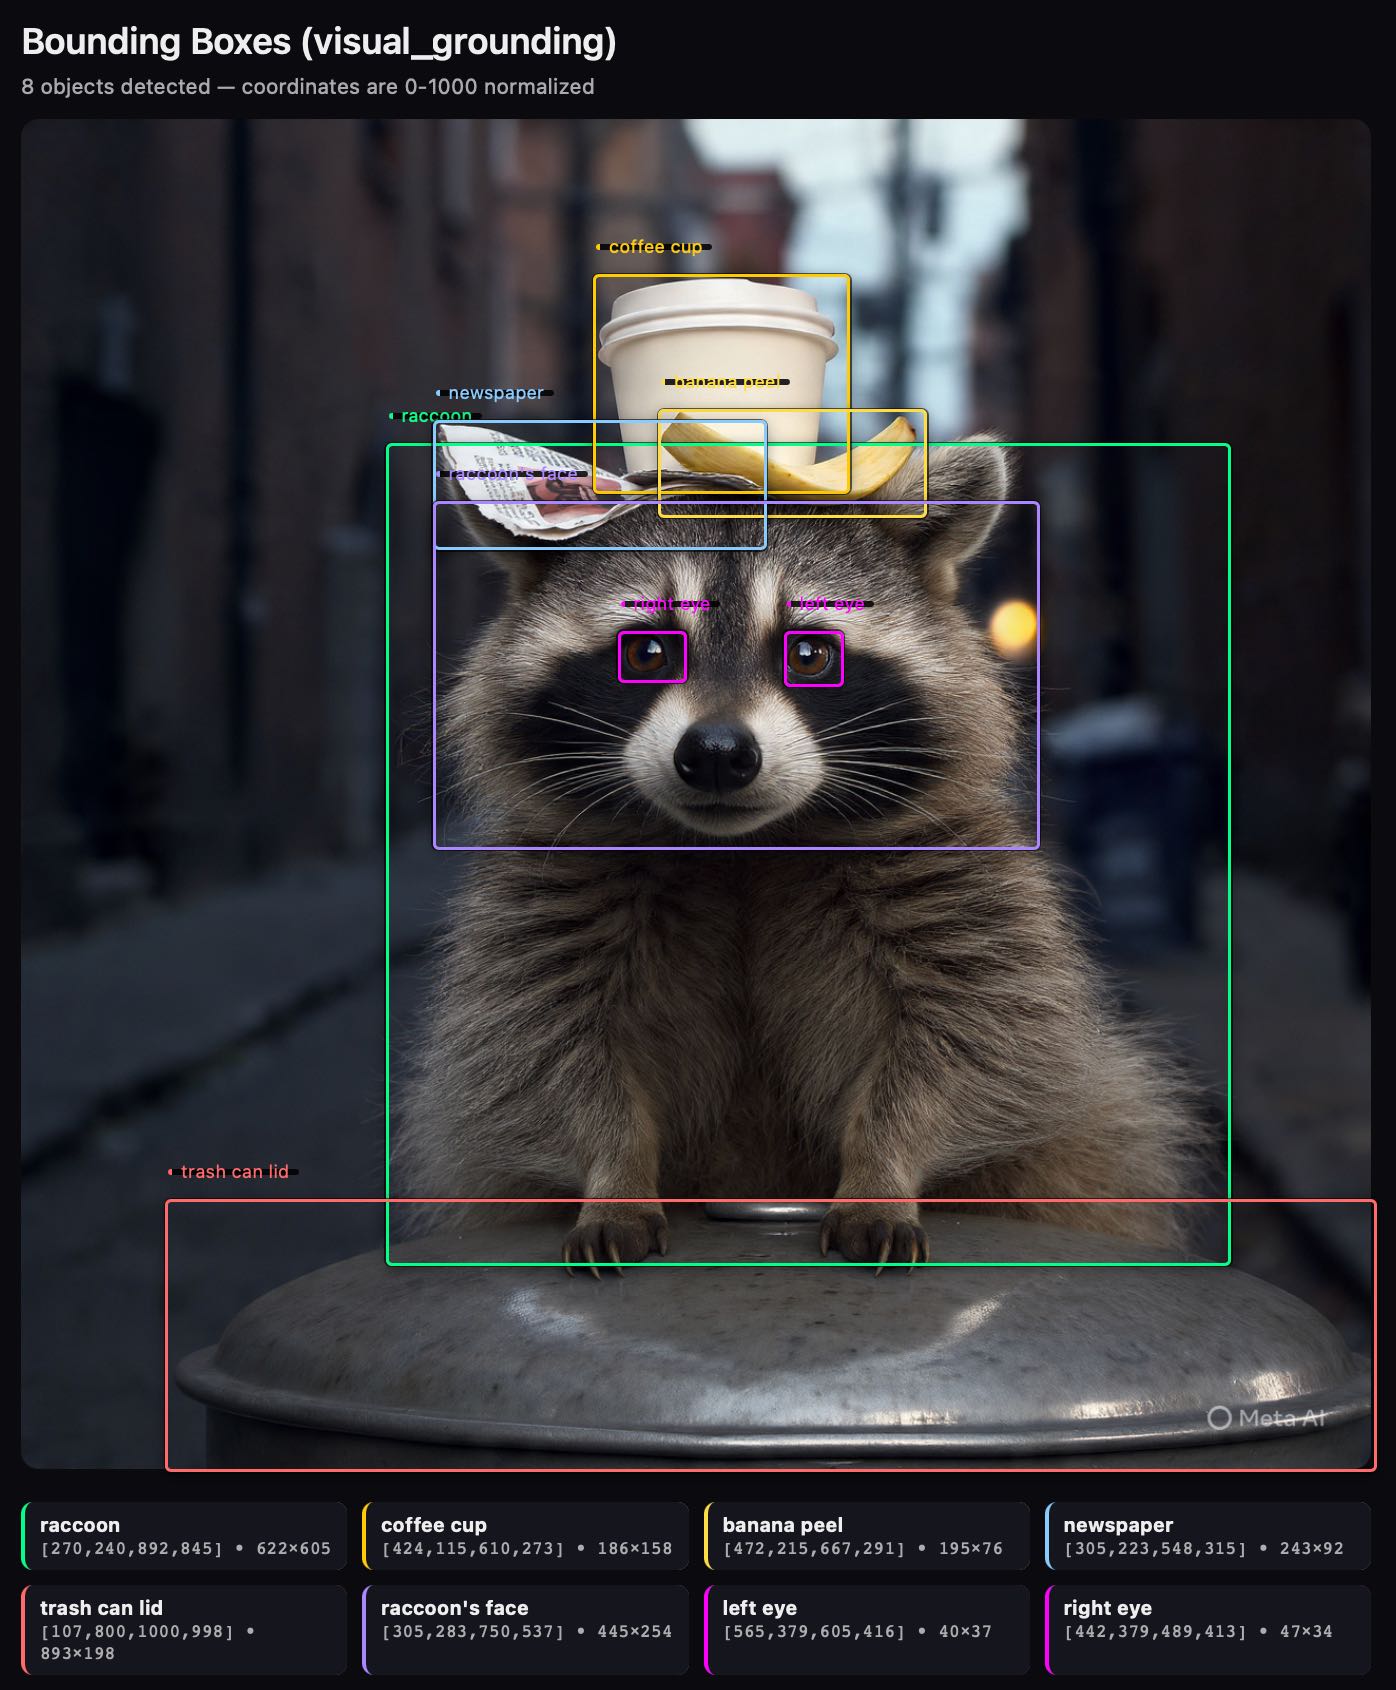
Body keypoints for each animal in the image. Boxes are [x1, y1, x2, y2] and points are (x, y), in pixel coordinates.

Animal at [402, 440, 1202, 1272]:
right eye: (649, 649)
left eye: (811, 653)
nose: (718, 755)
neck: (746, 844)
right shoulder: (554, 895)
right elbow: (545, 1055)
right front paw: (615, 1172)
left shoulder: (955, 881)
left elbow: (975, 1046)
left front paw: (881, 1169)